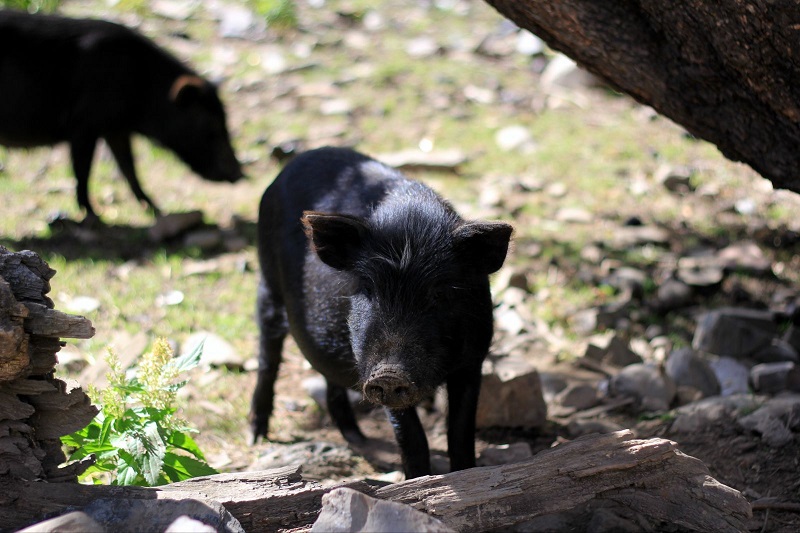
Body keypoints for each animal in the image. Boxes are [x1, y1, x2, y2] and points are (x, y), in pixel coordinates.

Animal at [0, 10, 244, 222]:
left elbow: (129, 167)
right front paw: (93, 216)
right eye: (211, 126)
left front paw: (156, 209)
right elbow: (83, 171)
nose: (239, 174)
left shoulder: (116, 128)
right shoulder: (84, 125)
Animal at [250, 147, 512, 478]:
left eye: (440, 293)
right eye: (368, 288)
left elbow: (461, 432)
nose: (389, 373)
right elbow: (412, 438)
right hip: (267, 283)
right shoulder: (371, 367)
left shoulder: (473, 360)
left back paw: (359, 440)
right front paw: (417, 480)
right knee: (267, 358)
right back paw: (256, 436)